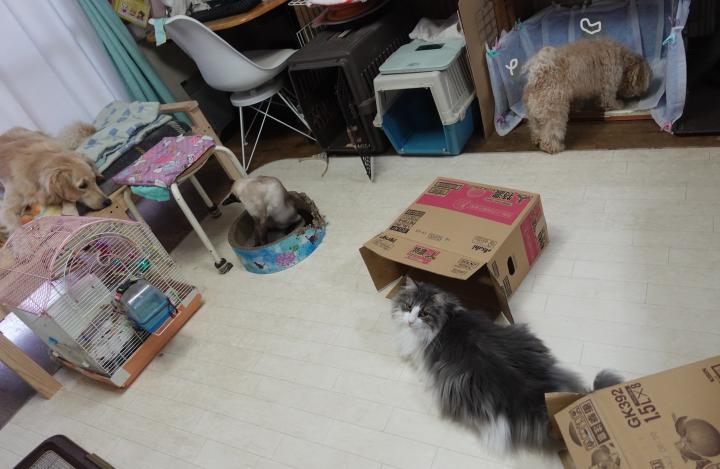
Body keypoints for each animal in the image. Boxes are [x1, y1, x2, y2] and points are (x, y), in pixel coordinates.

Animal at [523, 38, 651, 154]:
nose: (643, 93)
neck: (623, 58)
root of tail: (537, 75)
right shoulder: (609, 84)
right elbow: (608, 100)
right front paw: (618, 104)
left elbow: (579, 101)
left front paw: (578, 108)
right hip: (553, 109)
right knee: (551, 130)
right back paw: (553, 147)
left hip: (534, 111)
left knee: (535, 126)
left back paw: (537, 139)